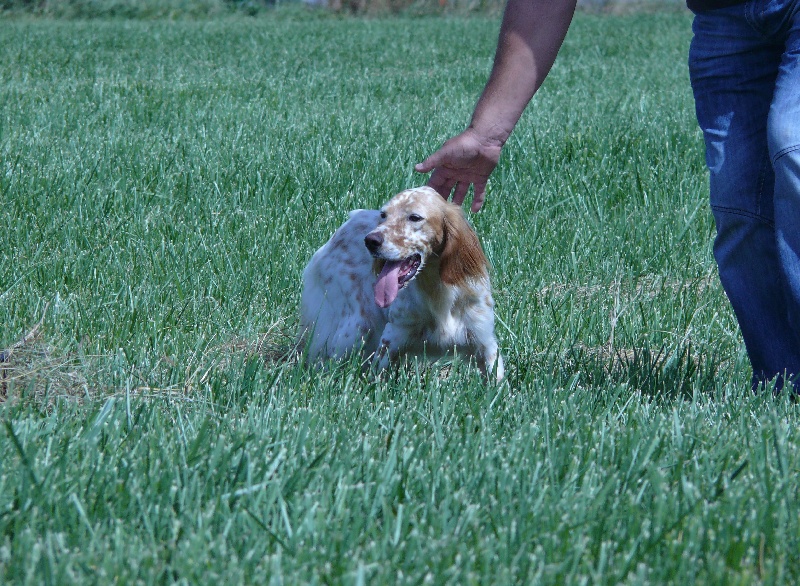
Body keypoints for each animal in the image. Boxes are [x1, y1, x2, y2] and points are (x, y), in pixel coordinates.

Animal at [296, 185, 504, 380]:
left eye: (415, 217)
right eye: (383, 215)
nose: (370, 240)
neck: (436, 289)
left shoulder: (485, 341)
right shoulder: (392, 337)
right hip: (354, 329)